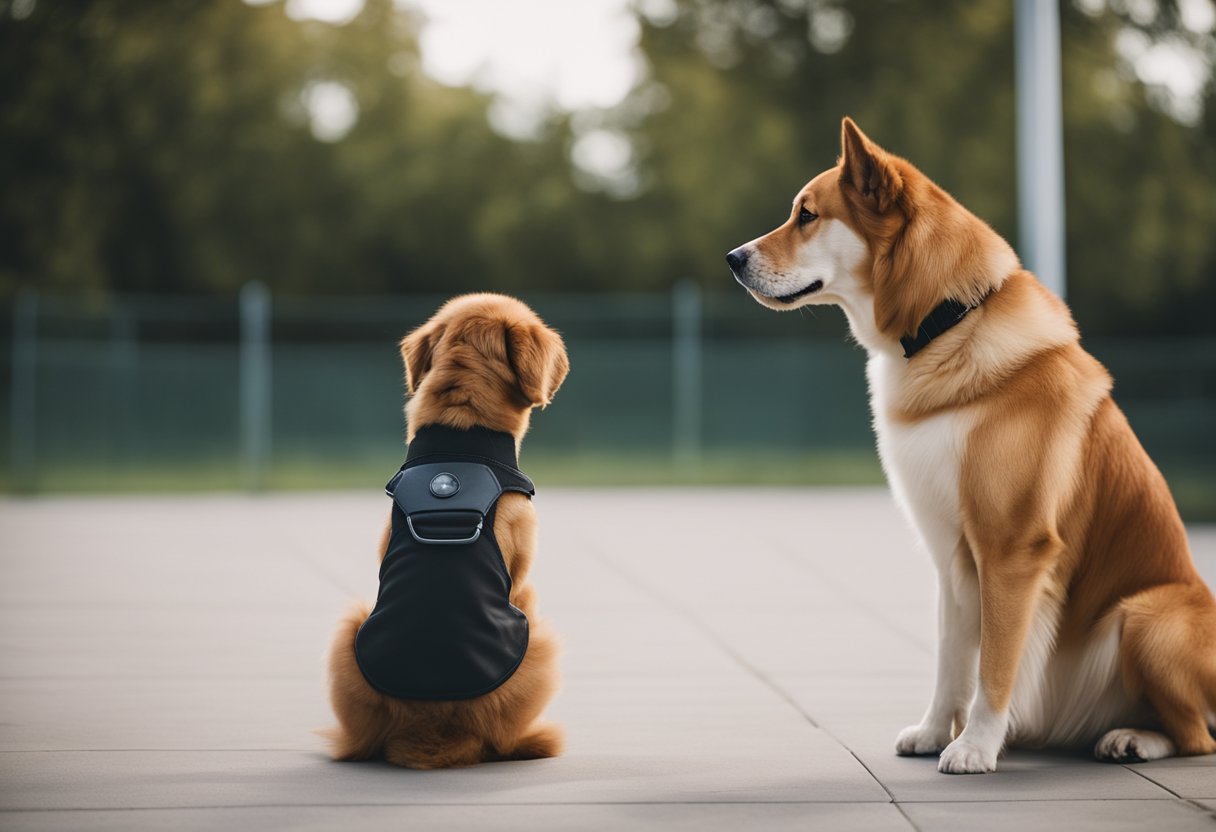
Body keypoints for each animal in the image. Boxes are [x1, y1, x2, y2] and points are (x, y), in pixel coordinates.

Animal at [323, 291, 569, 768]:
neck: (463, 431)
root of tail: (433, 729)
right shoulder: (522, 579)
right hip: (539, 640)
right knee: (506, 742)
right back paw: (537, 739)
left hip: (350, 632)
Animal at [724, 115, 1211, 773]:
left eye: (808, 215)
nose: (733, 258)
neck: (945, 324)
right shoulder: (951, 555)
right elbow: (951, 657)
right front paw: (935, 732)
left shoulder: (1012, 549)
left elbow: (995, 663)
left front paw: (975, 746)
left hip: (1148, 615)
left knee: (1197, 735)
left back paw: (1132, 738)